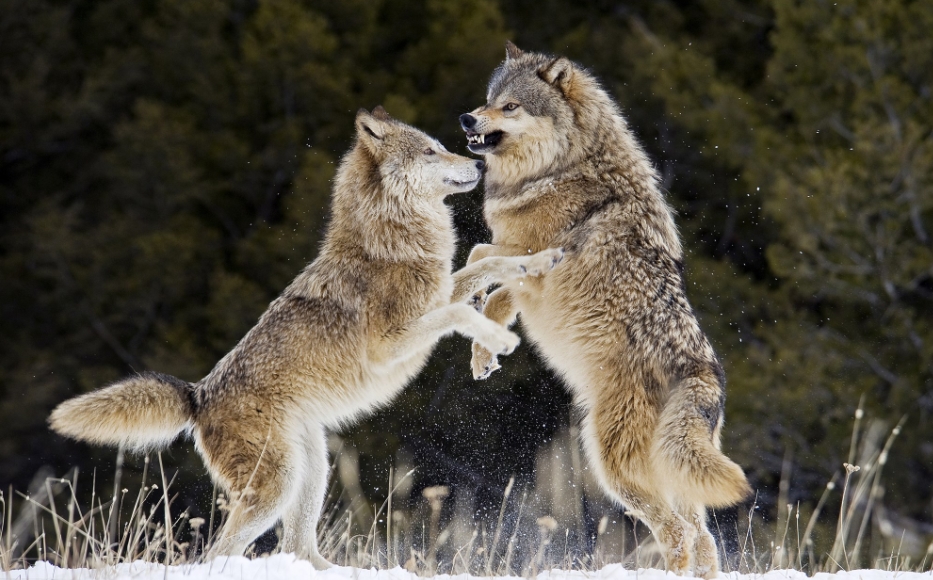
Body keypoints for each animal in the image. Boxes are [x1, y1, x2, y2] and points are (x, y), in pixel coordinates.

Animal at [50, 106, 564, 568]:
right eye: (430, 151)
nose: (479, 165)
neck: (391, 241)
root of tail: (198, 396)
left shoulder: (438, 295)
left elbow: (489, 263)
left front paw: (540, 262)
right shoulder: (392, 344)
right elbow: (462, 304)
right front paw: (500, 340)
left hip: (312, 469)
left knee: (298, 547)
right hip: (277, 485)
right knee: (218, 554)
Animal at [458, 43, 752, 577]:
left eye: (511, 106)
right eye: (489, 99)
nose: (467, 118)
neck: (559, 169)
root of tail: (703, 373)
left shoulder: (531, 262)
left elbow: (484, 266)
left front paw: (481, 338)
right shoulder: (521, 267)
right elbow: (485, 273)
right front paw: (483, 342)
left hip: (611, 465)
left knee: (677, 535)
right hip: (672, 477)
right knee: (702, 537)